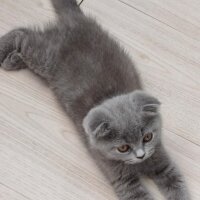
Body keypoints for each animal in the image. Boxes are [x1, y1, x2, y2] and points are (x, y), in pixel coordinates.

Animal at [0, 0, 191, 200]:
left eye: (148, 137)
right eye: (123, 148)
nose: (141, 154)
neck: (139, 165)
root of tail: (77, 19)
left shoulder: (162, 160)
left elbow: (176, 182)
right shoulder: (122, 178)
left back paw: (13, 59)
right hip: (47, 56)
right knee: (23, 34)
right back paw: (4, 54)